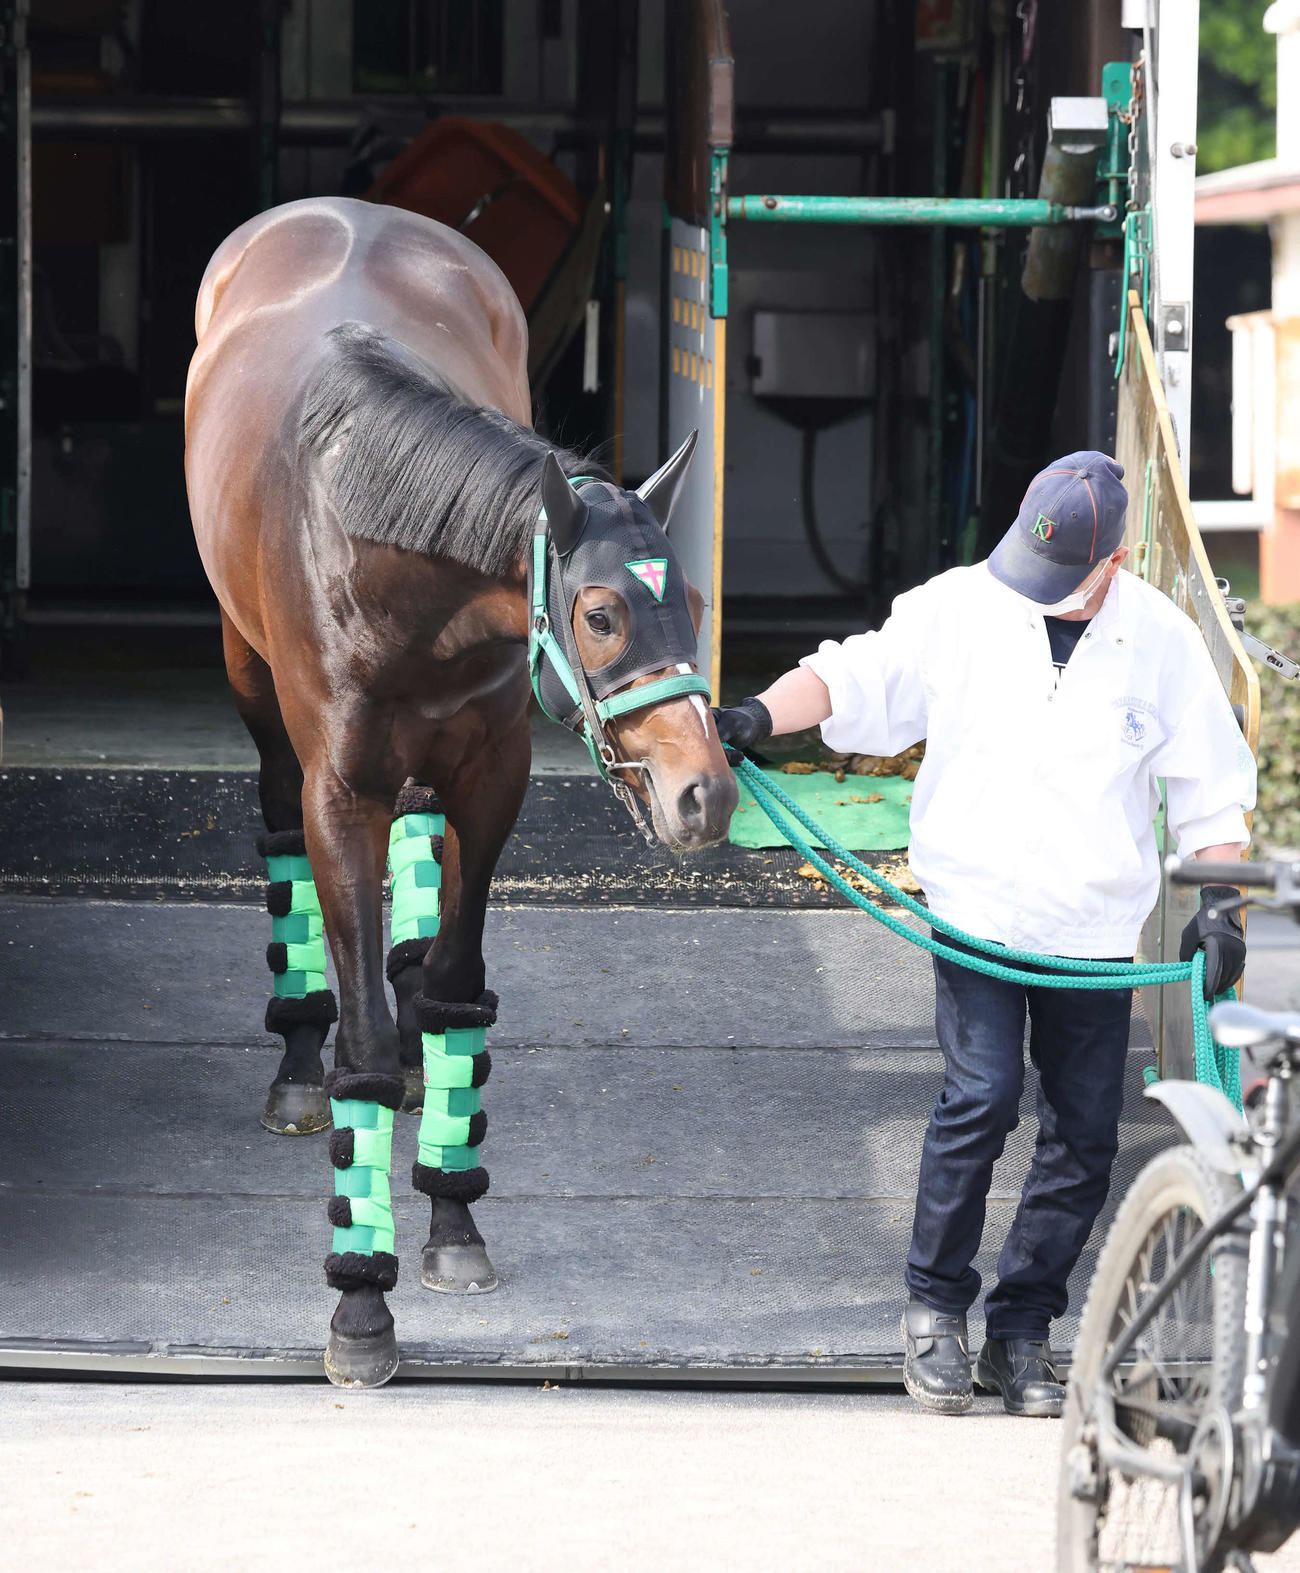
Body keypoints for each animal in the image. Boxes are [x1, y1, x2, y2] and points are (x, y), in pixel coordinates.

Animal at [184, 196, 737, 1385]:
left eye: (691, 600)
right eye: (599, 614)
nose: (703, 795)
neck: (370, 531)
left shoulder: (493, 782)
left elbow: (451, 990)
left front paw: (452, 1219)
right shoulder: (337, 791)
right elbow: (362, 1037)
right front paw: (361, 1304)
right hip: (253, 689)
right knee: (281, 848)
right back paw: (296, 1060)